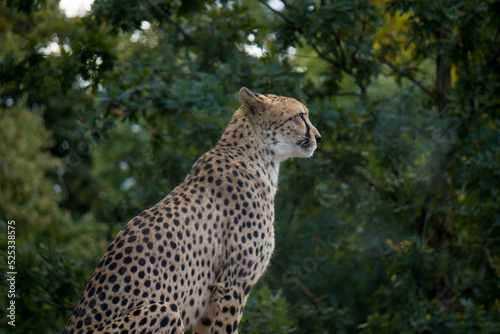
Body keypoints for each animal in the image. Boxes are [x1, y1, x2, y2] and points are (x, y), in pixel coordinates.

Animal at [62, 87, 322, 332]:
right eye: (301, 116)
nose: (318, 137)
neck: (259, 157)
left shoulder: (212, 298)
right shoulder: (232, 284)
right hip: (166, 309)